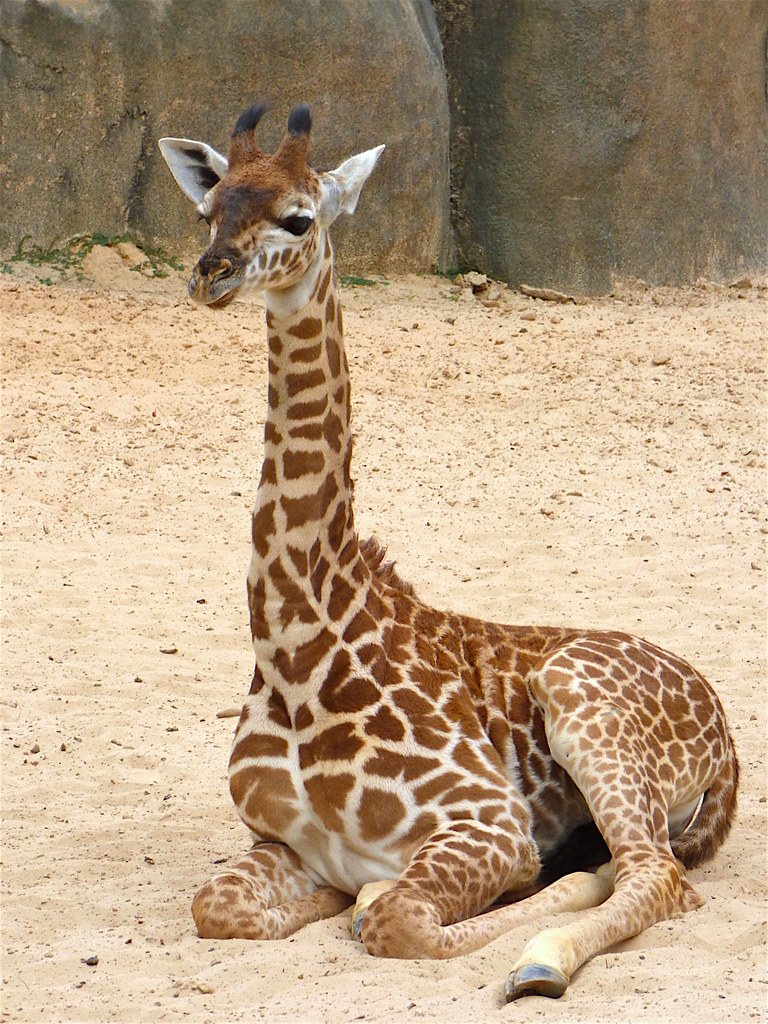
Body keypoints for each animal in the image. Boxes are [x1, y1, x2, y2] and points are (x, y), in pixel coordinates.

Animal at [158, 103, 738, 1001]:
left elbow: (400, 920)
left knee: (656, 873)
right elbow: (216, 904)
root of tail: (726, 731)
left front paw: (380, 907)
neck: (297, 645)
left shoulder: (490, 821)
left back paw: (540, 959)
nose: (211, 275)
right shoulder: (286, 843)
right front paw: (337, 900)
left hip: (584, 710)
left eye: (299, 217)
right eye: (206, 211)